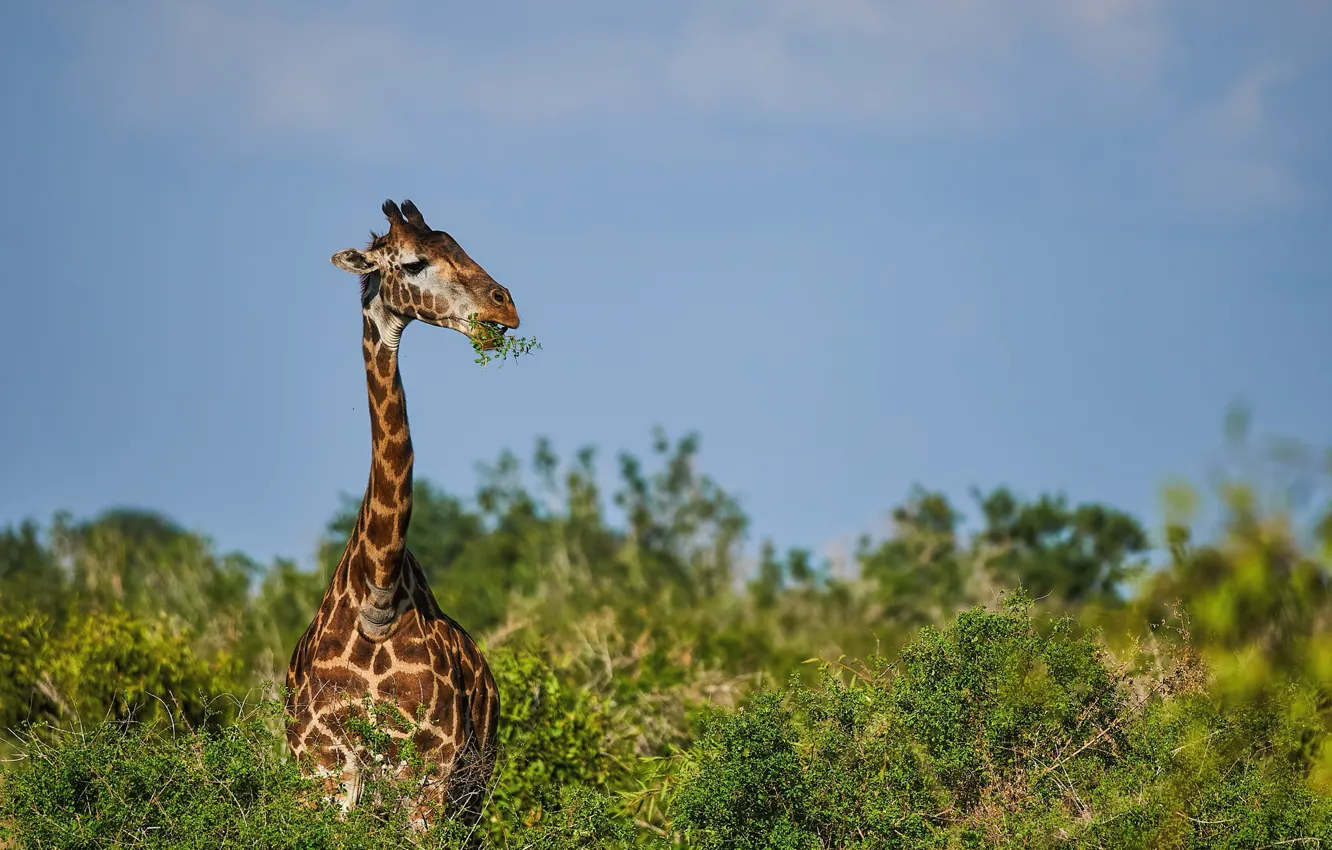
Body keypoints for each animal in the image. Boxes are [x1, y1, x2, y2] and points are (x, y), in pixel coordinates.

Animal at [285, 199, 516, 828]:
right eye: (413, 263)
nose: (505, 305)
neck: (379, 594)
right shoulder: (323, 766)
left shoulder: (430, 772)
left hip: (473, 789)